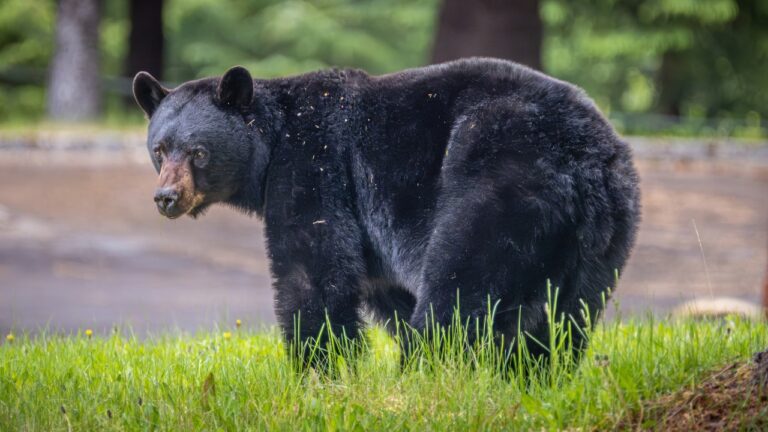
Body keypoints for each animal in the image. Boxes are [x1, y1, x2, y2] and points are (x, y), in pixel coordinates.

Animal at [133, 57, 640, 366]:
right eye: (159, 149)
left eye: (198, 152)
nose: (166, 198)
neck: (271, 144)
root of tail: (587, 158)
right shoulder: (370, 231)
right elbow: (383, 286)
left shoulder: (315, 164)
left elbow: (312, 269)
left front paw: (320, 368)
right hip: (605, 237)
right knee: (565, 320)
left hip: (501, 183)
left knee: (460, 290)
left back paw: (423, 373)